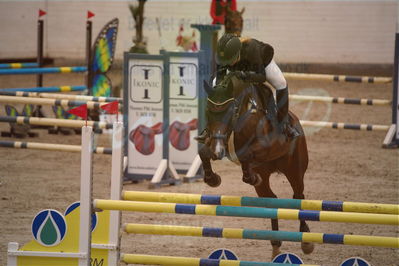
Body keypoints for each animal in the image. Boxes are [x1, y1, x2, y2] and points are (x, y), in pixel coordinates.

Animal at [200, 72, 316, 258]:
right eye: (208, 111)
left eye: (231, 110)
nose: (217, 151)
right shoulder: (214, 141)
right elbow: (203, 152)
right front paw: (213, 179)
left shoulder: (266, 145)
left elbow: (245, 154)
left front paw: (252, 177)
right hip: (266, 176)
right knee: (272, 201)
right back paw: (275, 246)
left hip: (295, 170)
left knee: (298, 197)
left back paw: (306, 241)